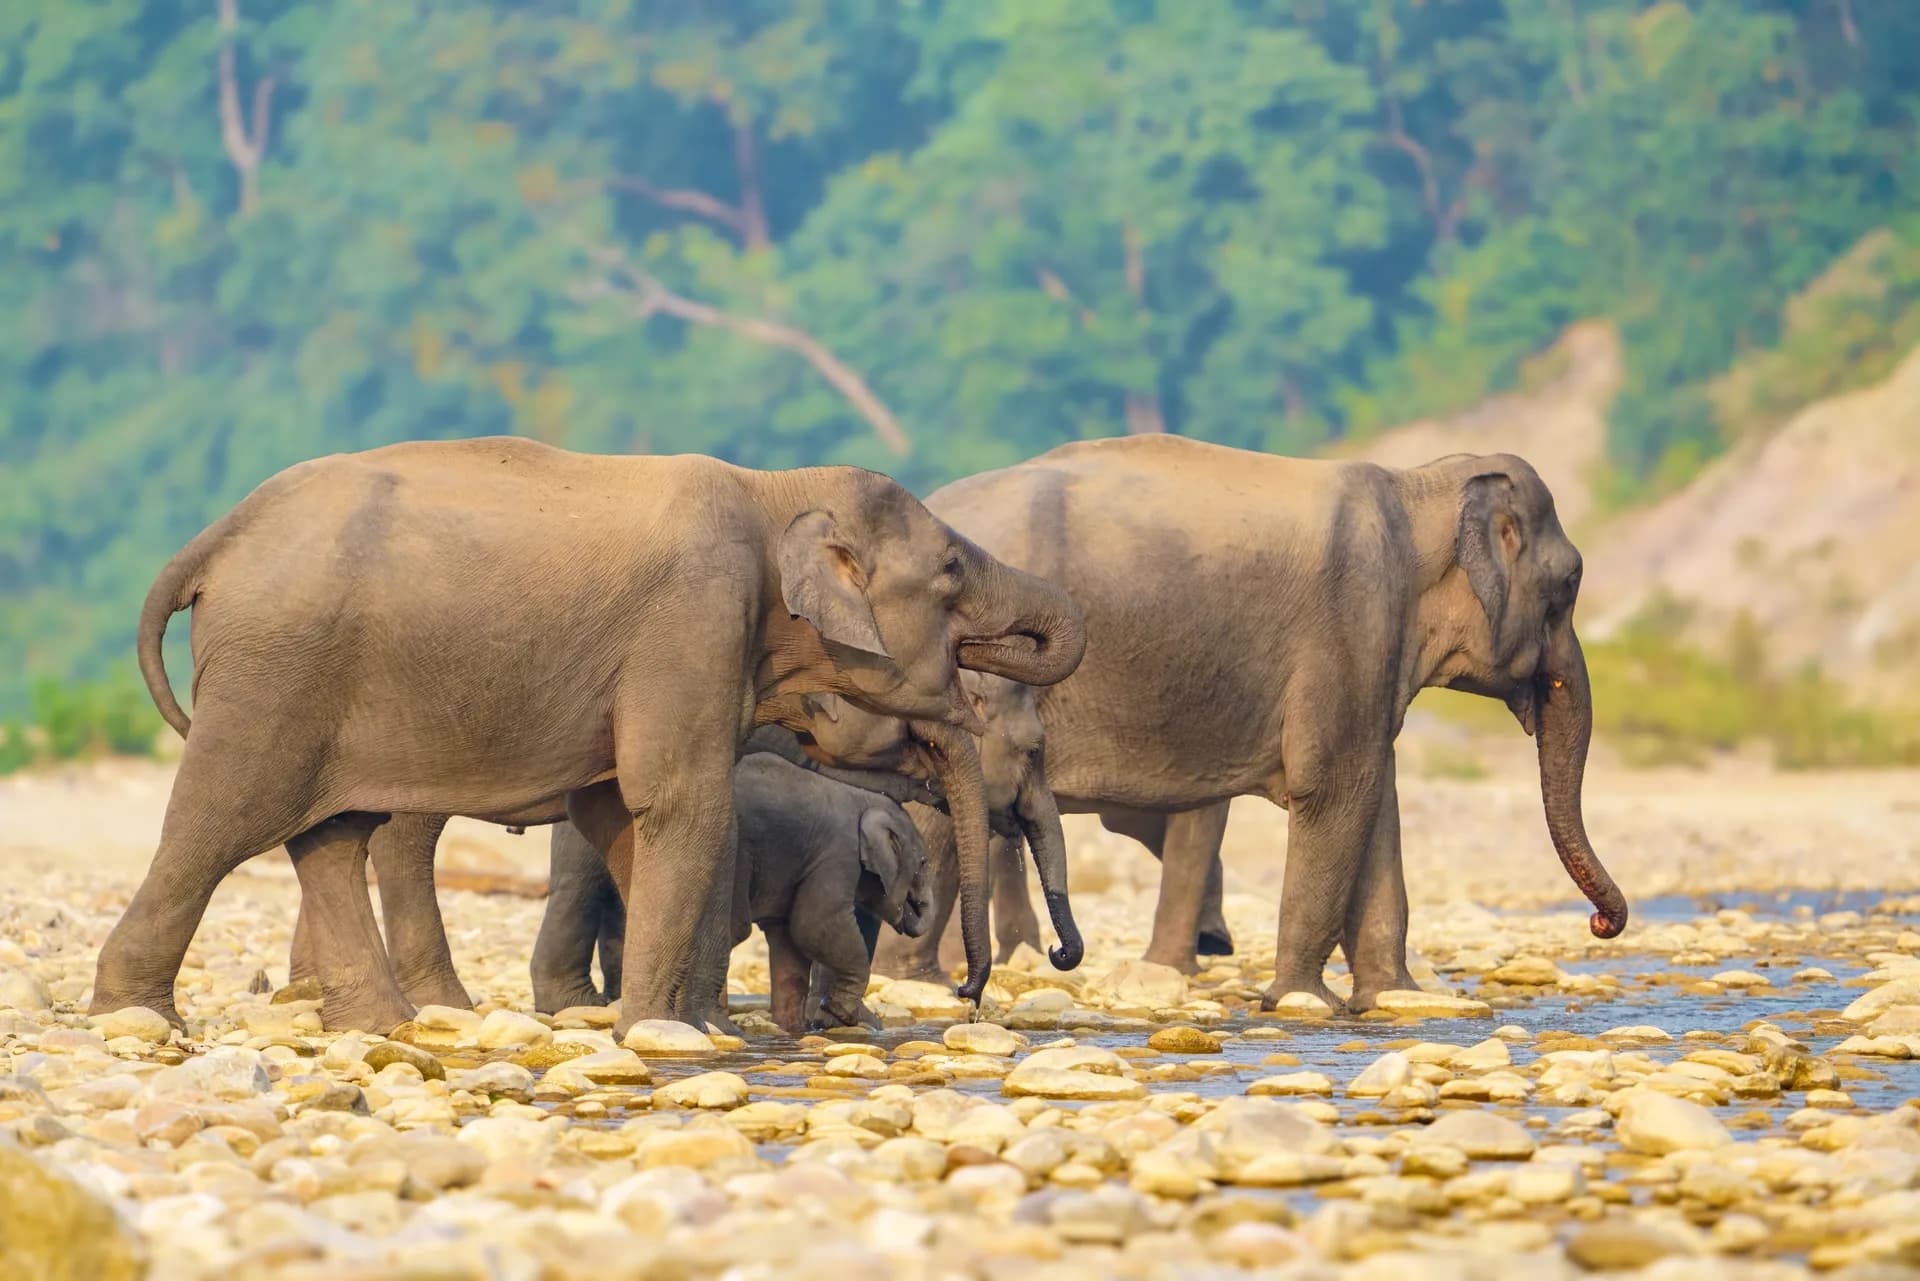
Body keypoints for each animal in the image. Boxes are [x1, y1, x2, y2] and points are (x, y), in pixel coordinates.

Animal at [529, 754, 933, 1034]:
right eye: (924, 863)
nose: (916, 912)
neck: (864, 799)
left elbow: (789, 941)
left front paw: (796, 1028)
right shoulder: (836, 855)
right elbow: (815, 925)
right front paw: (842, 1016)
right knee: (733, 929)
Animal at [858, 436, 1628, 1012]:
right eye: (1569, 585)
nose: (1601, 923)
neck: (1419, 487)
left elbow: (1374, 797)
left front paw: (1394, 998)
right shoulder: (1354, 619)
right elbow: (1335, 790)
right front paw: (1302, 1001)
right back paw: (915, 982)